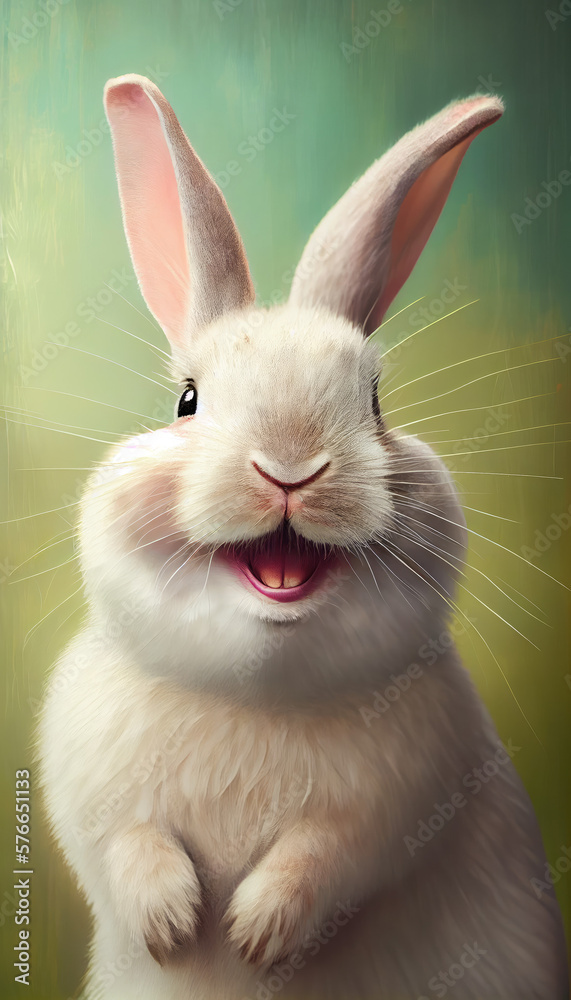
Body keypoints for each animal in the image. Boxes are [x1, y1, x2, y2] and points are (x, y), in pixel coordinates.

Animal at [38, 75, 568, 1000]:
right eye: (186, 401)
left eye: (375, 404)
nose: (289, 468)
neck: (256, 693)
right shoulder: (87, 784)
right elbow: (122, 843)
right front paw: (172, 924)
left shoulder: (394, 803)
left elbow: (327, 857)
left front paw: (255, 934)